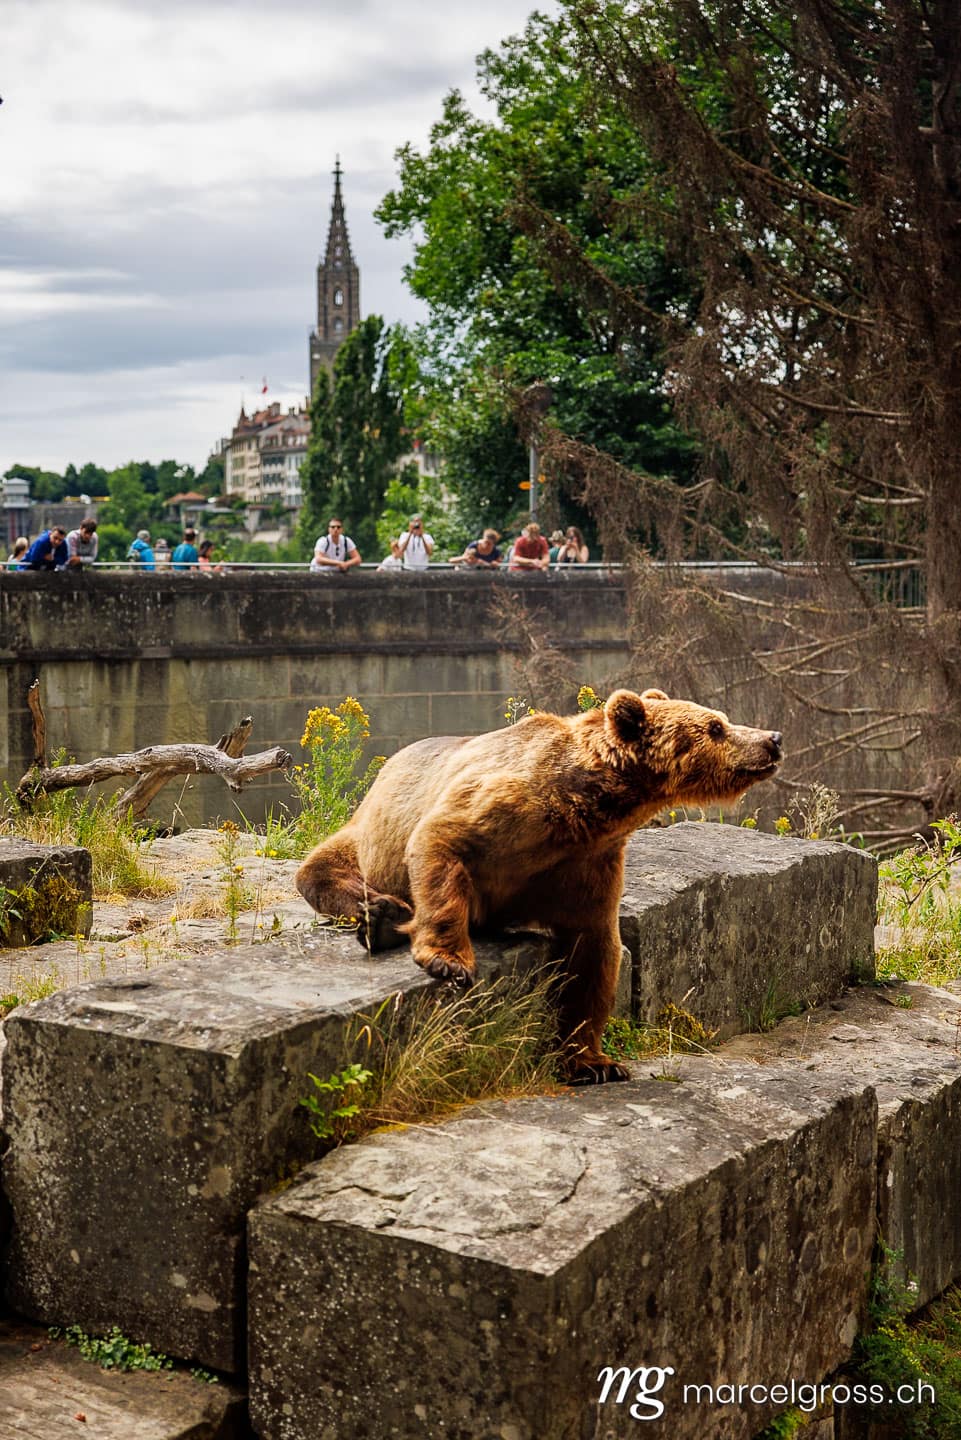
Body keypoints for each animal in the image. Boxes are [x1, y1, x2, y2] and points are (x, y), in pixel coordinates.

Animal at [295, 688, 782, 1084]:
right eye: (715, 726)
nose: (772, 738)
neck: (586, 804)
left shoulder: (586, 862)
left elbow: (592, 954)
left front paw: (593, 1062)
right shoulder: (508, 805)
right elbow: (440, 842)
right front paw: (449, 962)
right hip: (369, 830)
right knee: (321, 870)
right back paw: (381, 914)